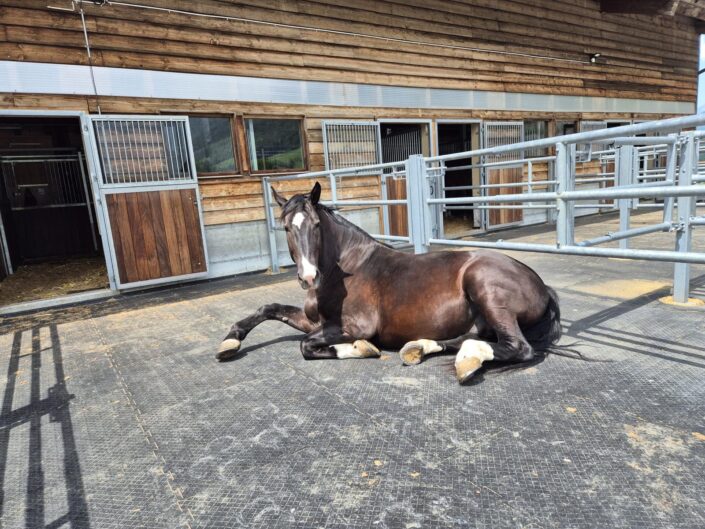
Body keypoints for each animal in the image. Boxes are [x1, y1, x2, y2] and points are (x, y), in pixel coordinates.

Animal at [217, 182, 562, 384]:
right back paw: (422, 348)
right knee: (464, 338)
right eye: (287, 227)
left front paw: (361, 349)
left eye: (315, 225)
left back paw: (467, 360)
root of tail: (542, 285)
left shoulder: (354, 325)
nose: (309, 276)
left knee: (517, 347)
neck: (349, 268)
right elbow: (269, 308)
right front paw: (230, 342)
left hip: (485, 288)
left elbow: (307, 345)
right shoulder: (314, 320)